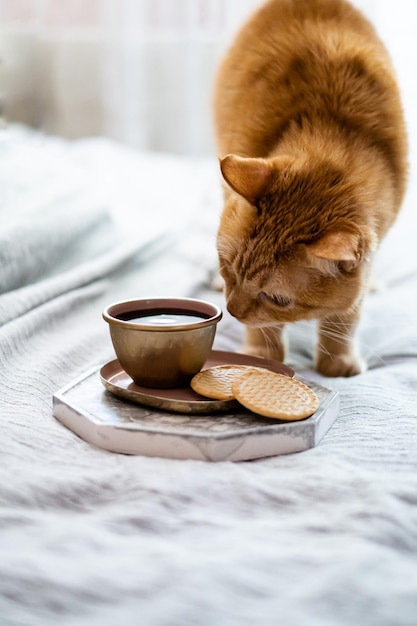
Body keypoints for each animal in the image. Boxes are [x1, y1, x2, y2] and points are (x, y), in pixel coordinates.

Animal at [213, 0, 408, 376]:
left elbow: (346, 314)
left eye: (278, 298)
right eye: (229, 268)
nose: (232, 310)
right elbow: (265, 330)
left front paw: (337, 359)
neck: (332, 130)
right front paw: (262, 354)